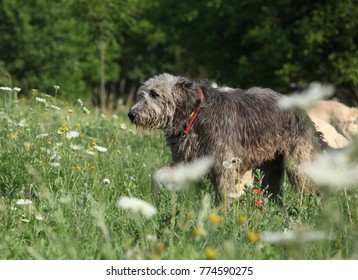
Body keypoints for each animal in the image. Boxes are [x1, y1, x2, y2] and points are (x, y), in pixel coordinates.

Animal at [128, 72, 328, 203]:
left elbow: (224, 192)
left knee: (310, 186)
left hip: (299, 163)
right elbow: (158, 172)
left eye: (154, 94)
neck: (195, 114)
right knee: (274, 193)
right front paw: (155, 198)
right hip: (271, 166)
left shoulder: (224, 163)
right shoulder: (187, 162)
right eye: (141, 94)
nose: (131, 114)